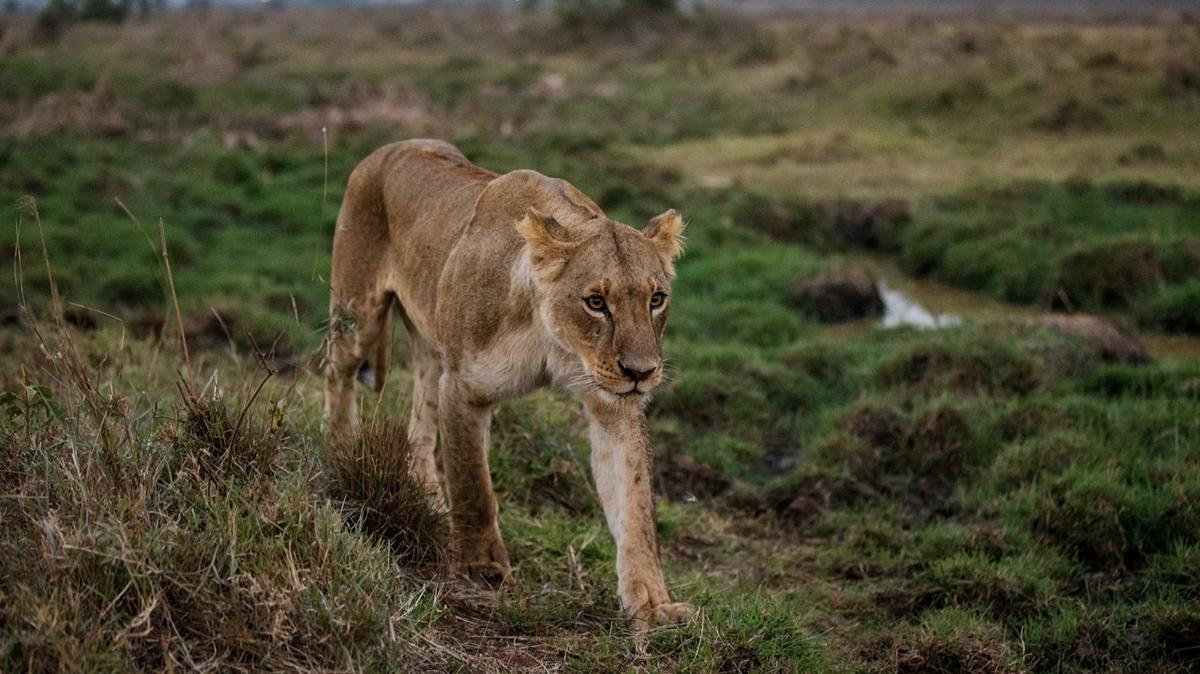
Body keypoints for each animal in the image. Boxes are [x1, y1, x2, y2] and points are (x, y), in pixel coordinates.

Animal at [324, 139, 694, 628]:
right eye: (596, 302)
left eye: (656, 299)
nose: (641, 372)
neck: (555, 339)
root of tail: (388, 148)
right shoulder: (463, 386)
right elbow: (473, 482)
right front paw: (480, 567)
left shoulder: (613, 405)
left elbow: (635, 507)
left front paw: (652, 603)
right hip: (357, 313)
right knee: (336, 373)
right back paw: (339, 455)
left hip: (430, 343)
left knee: (420, 423)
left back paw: (429, 501)